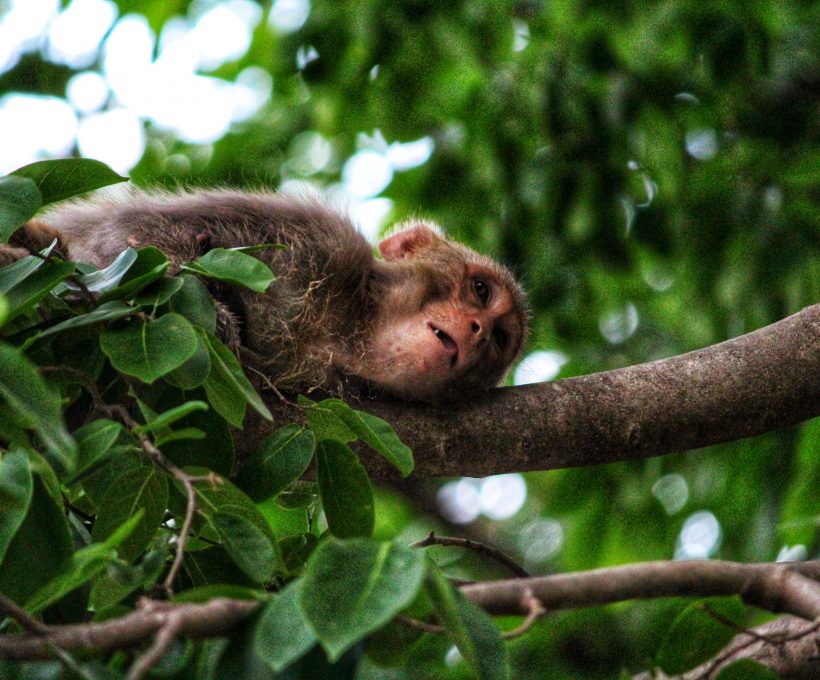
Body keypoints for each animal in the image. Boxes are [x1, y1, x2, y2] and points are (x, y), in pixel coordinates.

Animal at [8, 189, 532, 402]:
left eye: (500, 340)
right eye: (480, 289)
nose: (478, 329)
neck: (347, 328)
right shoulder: (317, 239)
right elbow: (132, 234)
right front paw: (217, 316)